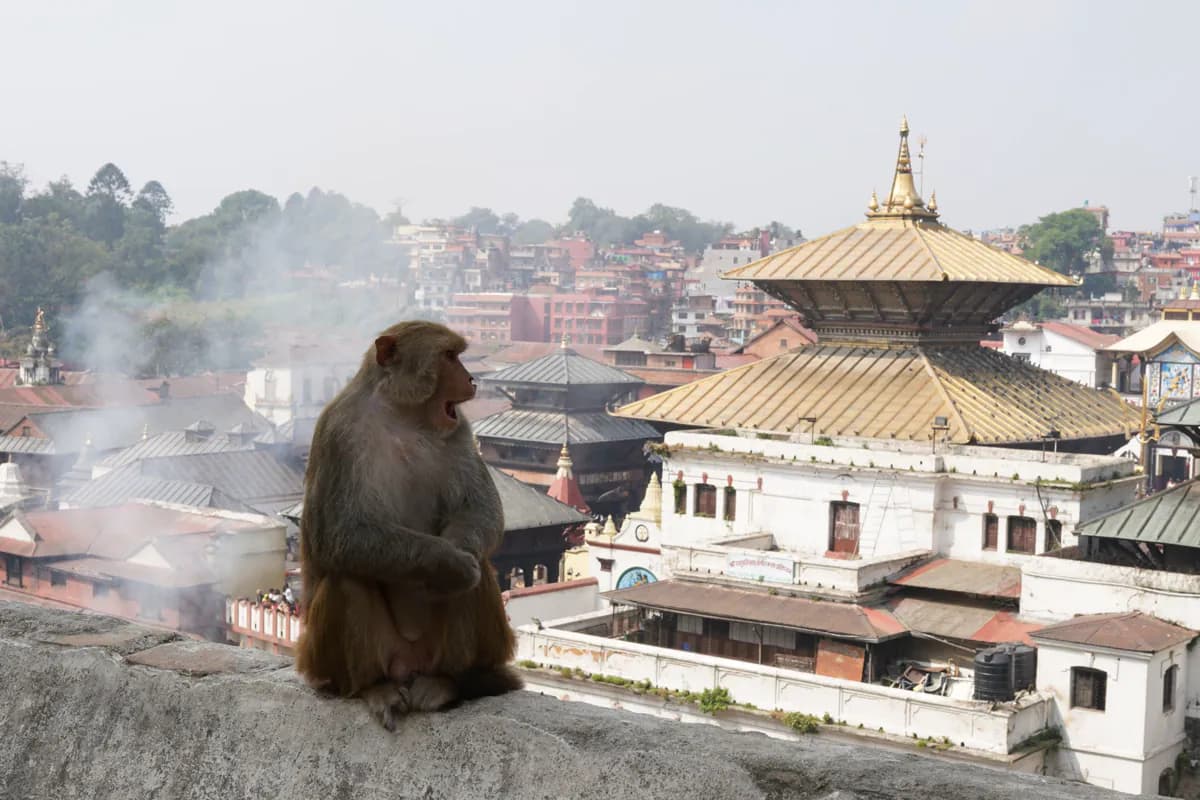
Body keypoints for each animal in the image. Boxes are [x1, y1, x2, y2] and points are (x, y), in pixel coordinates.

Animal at [294, 320, 521, 730]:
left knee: (478, 566)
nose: (471, 379)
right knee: (348, 577)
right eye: (449, 356)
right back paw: (372, 687)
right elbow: (339, 534)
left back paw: (447, 681)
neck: (401, 414)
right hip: (328, 661)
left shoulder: (459, 428)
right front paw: (447, 563)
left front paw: (456, 560)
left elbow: (480, 507)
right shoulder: (339, 433)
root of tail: (409, 667)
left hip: (435, 653)